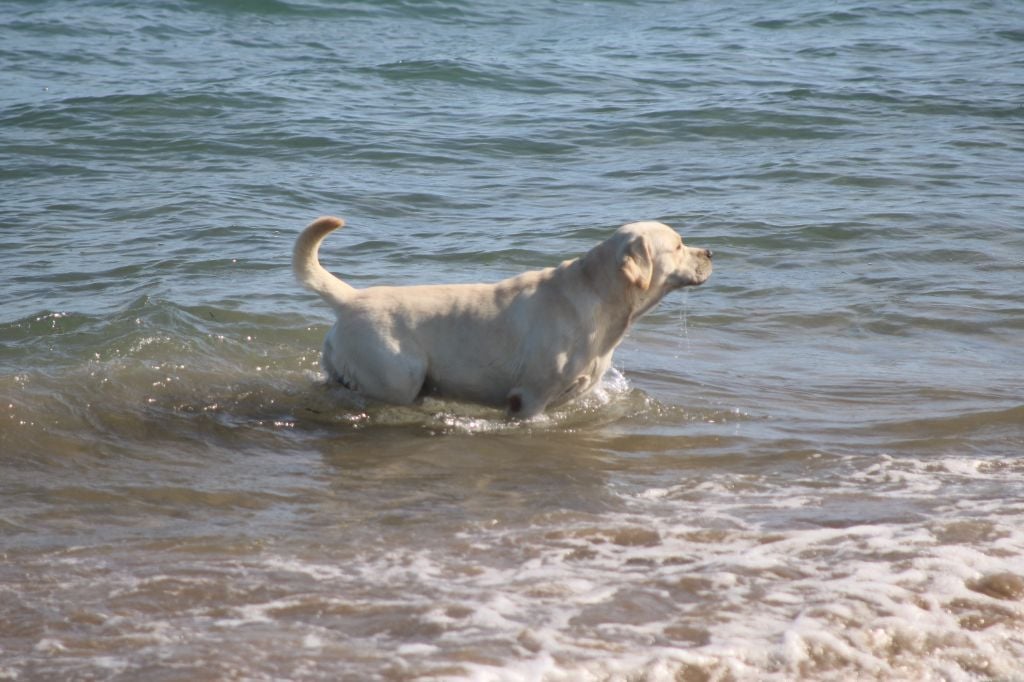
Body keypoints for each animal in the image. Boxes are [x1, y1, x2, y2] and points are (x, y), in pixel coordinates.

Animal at [296, 215, 712, 417]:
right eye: (678, 245)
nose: (710, 251)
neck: (599, 293)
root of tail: (351, 297)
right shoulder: (530, 397)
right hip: (397, 376)